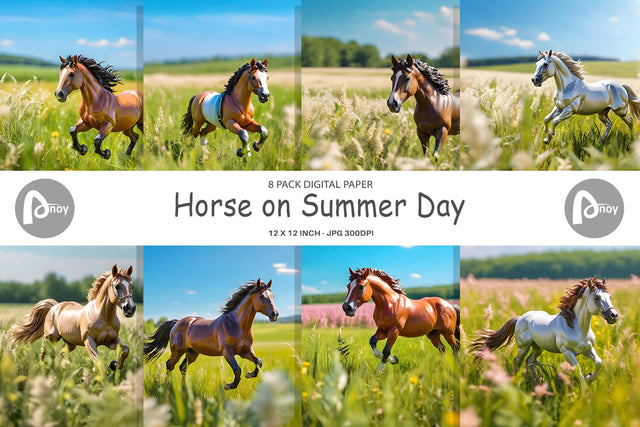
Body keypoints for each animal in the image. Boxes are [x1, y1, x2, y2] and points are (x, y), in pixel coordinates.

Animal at [144, 279, 278, 390]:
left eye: (272, 296)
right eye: (261, 296)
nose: (275, 314)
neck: (236, 324)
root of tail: (177, 323)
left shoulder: (244, 351)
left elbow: (258, 362)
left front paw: (249, 374)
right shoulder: (227, 351)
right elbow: (237, 369)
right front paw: (229, 386)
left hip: (192, 352)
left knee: (182, 367)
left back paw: (184, 389)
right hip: (177, 351)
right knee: (169, 365)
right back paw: (166, 386)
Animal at [470, 277, 617, 384]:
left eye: (609, 297)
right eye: (597, 298)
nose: (613, 316)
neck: (576, 327)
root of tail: (519, 318)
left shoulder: (587, 349)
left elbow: (598, 362)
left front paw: (589, 377)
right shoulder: (567, 351)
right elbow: (577, 369)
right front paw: (584, 390)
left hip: (538, 347)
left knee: (530, 360)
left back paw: (537, 381)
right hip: (524, 346)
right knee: (518, 360)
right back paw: (516, 381)